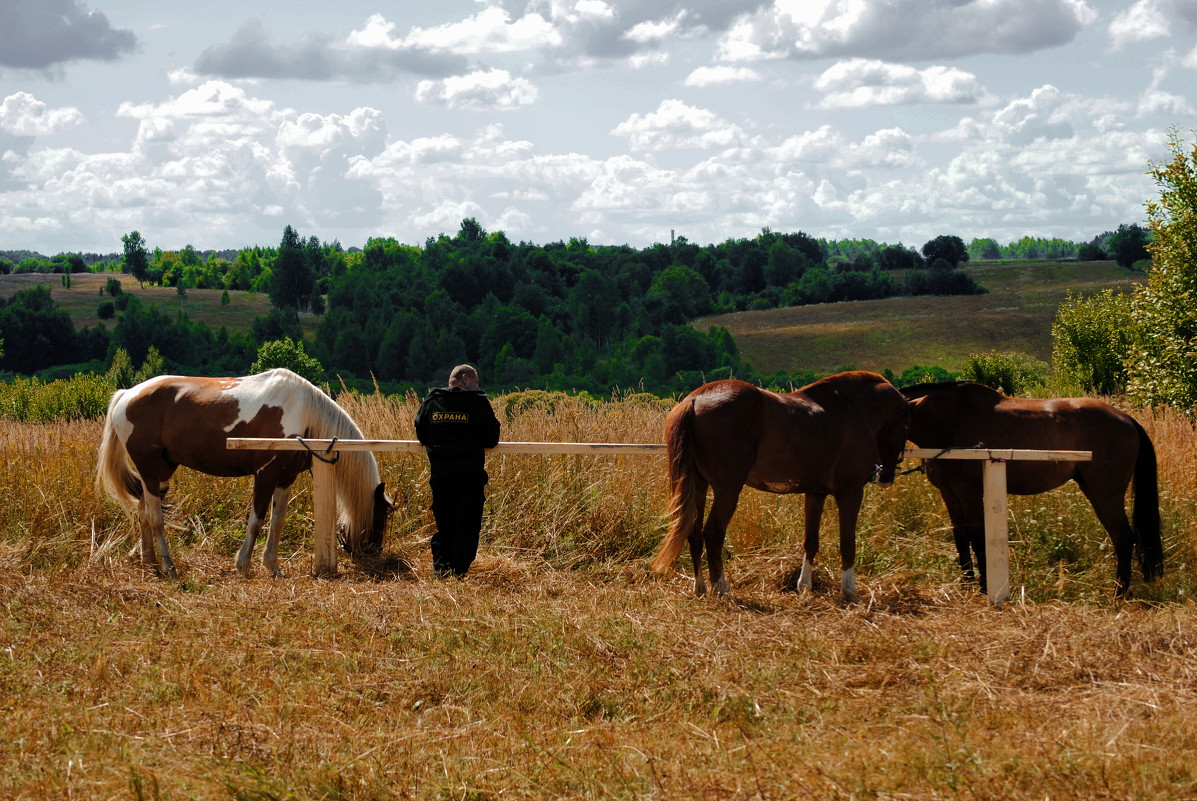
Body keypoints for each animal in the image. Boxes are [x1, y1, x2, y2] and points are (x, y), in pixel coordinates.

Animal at [96, 366, 392, 577]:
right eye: (382, 516)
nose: (374, 553)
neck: (303, 414)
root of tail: (127, 394)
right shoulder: (265, 474)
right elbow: (257, 520)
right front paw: (243, 564)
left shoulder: (285, 478)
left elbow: (277, 521)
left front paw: (272, 566)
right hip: (148, 467)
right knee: (155, 518)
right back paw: (168, 566)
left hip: (162, 471)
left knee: (143, 512)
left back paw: (149, 561)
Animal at [655, 371, 904, 596]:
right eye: (904, 426)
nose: (885, 475)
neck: (851, 410)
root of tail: (695, 400)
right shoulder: (850, 493)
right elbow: (847, 542)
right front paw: (849, 590)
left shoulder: (815, 494)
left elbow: (811, 540)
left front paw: (804, 586)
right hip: (727, 490)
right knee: (713, 533)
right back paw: (721, 588)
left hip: (698, 486)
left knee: (694, 532)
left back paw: (700, 588)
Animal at [900, 380, 1163, 593]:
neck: (952, 420)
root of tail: (1126, 419)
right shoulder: (950, 495)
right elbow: (961, 540)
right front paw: (967, 585)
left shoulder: (970, 494)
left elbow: (977, 539)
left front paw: (984, 588)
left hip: (1106, 495)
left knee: (1123, 537)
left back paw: (1120, 592)